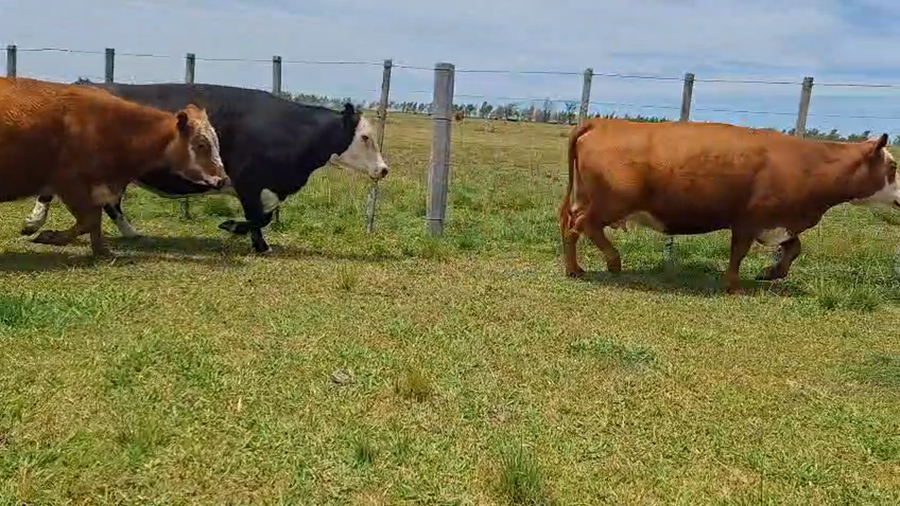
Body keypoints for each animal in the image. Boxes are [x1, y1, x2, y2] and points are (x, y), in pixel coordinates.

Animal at [0, 76, 228, 257]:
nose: (223, 179)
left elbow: (95, 222)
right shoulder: (71, 183)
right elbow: (90, 220)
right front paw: (49, 236)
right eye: (202, 144)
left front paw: (102, 252)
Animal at [19, 81, 389, 254]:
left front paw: (252, 239)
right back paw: (33, 222)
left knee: (111, 203)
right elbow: (258, 217)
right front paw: (240, 233)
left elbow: (264, 216)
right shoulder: (247, 180)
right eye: (365, 137)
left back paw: (131, 232)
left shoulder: (266, 187)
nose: (384, 170)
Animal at [558, 117, 899, 294]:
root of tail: (602, 122)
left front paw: (770, 272)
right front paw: (733, 284)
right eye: (893, 166)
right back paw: (611, 262)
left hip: (586, 198)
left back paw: (575, 269)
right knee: (584, 224)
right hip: (611, 202)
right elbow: (739, 252)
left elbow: (794, 248)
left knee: (570, 226)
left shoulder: (778, 221)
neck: (808, 163)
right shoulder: (748, 220)